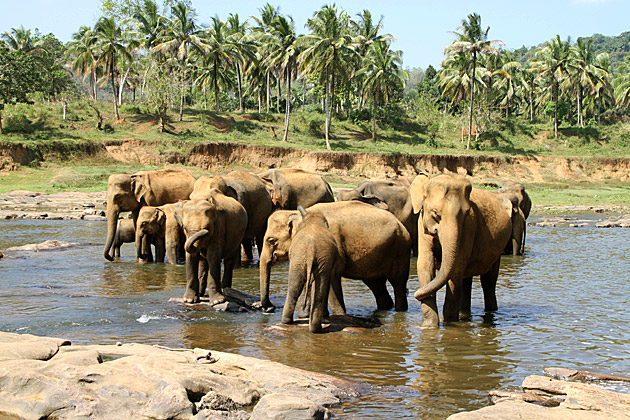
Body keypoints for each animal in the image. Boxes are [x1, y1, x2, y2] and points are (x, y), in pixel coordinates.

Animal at [258, 201, 414, 316]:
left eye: (271, 241)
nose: (269, 308)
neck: (301, 214)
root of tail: (401, 224)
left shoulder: (333, 246)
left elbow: (332, 278)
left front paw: (338, 315)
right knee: (376, 284)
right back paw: (385, 309)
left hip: (400, 249)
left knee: (398, 282)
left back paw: (400, 311)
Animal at [282, 205, 344, 334]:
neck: (312, 220)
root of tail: (311, 247)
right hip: (315, 258)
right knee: (315, 287)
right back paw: (315, 328)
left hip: (301, 257)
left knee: (295, 286)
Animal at [414, 174, 512, 328]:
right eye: (435, 212)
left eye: (466, 213)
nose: (415, 293)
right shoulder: (421, 226)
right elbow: (424, 265)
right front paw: (428, 327)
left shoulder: (468, 227)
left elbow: (456, 270)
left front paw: (449, 322)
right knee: (467, 280)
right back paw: (465, 312)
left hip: (497, 251)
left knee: (488, 281)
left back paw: (490, 312)